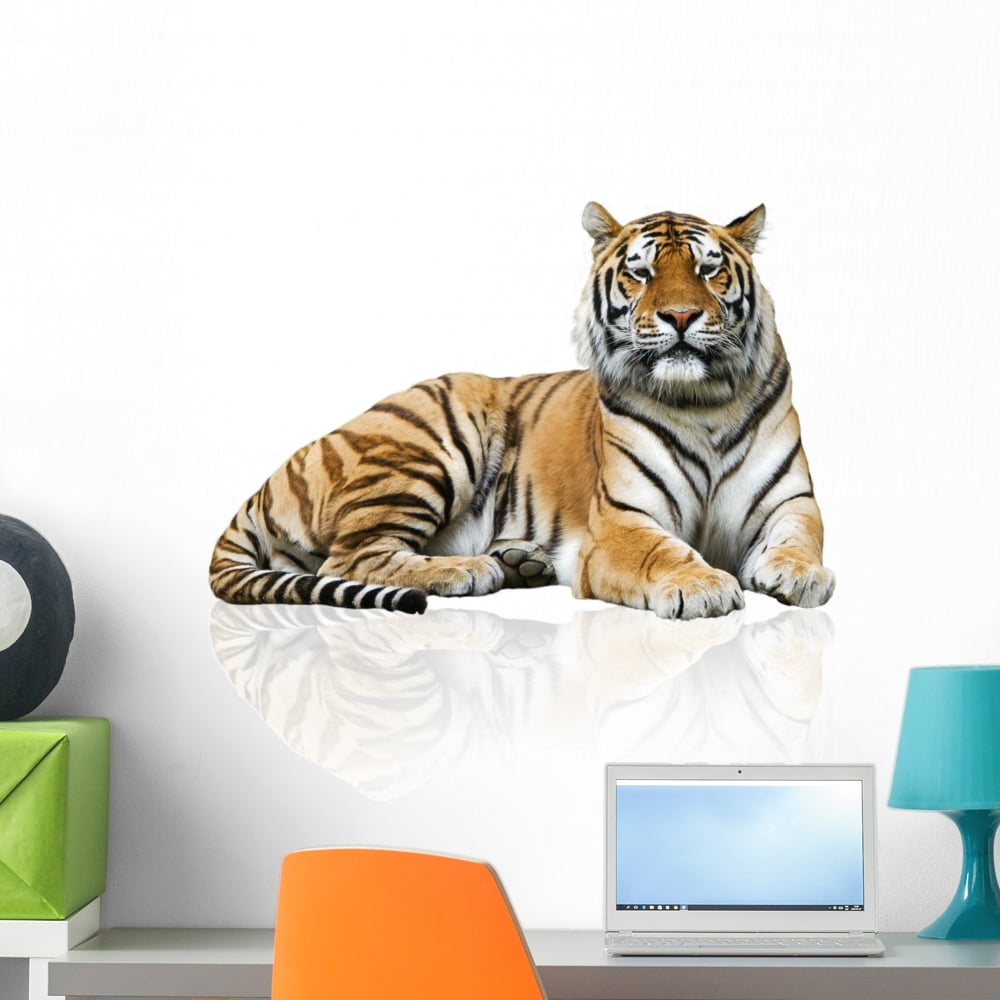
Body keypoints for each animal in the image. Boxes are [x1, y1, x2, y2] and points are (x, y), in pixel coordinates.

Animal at [209, 202, 834, 620]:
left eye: (708, 270)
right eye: (641, 272)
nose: (681, 316)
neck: (703, 404)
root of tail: (268, 482)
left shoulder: (791, 501)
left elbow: (799, 538)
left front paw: (801, 576)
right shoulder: (623, 520)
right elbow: (662, 550)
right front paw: (703, 585)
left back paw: (521, 563)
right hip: (432, 445)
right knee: (348, 558)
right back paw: (470, 570)